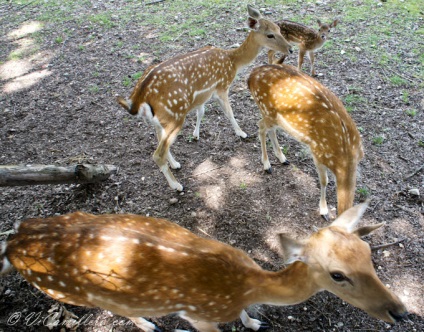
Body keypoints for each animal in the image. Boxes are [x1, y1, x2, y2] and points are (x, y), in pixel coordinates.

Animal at [1, 201, 410, 330]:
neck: (246, 284)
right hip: (68, 292)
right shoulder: (199, 314)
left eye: (369, 253)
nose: (401, 312)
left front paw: (255, 323)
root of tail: (13, 242)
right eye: (337, 275)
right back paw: (149, 324)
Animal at [117, 4, 294, 192]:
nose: (290, 48)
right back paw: (177, 185)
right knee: (157, 154)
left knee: (159, 141)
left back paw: (175, 164)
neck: (233, 62)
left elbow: (201, 112)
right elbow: (229, 112)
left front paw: (196, 135)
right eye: (269, 34)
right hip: (174, 115)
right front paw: (242, 133)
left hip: (159, 119)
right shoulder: (222, 86)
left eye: (279, 29)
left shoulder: (203, 95)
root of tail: (137, 98)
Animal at [248, 64, 364, 220]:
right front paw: (324, 211)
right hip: (267, 111)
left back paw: (282, 158)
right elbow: (324, 181)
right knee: (260, 126)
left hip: (274, 117)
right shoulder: (317, 153)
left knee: (269, 130)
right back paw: (267, 165)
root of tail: (251, 76)